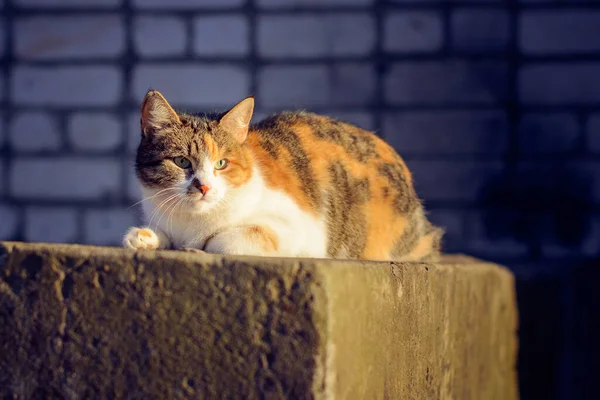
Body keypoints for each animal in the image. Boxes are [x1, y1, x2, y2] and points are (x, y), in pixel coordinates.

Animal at [122, 89, 442, 260]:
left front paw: (200, 246)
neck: (191, 222)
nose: (204, 187)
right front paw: (145, 237)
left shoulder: (296, 228)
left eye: (221, 164)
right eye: (182, 162)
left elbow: (226, 238)